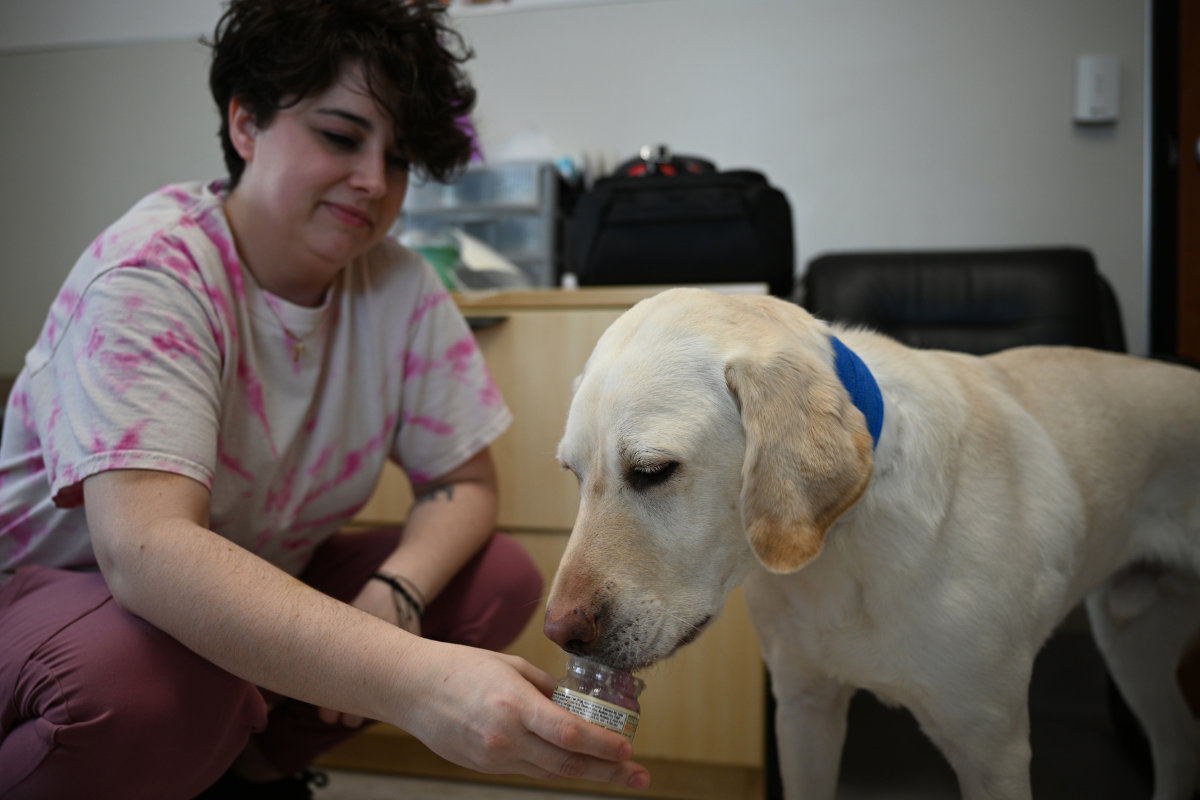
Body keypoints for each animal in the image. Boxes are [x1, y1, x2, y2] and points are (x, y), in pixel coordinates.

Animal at [549, 287, 1200, 800]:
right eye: (572, 474)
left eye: (653, 470)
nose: (558, 632)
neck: (840, 543)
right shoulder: (805, 711)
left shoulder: (993, 748)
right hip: (1133, 647)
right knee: (1176, 747)